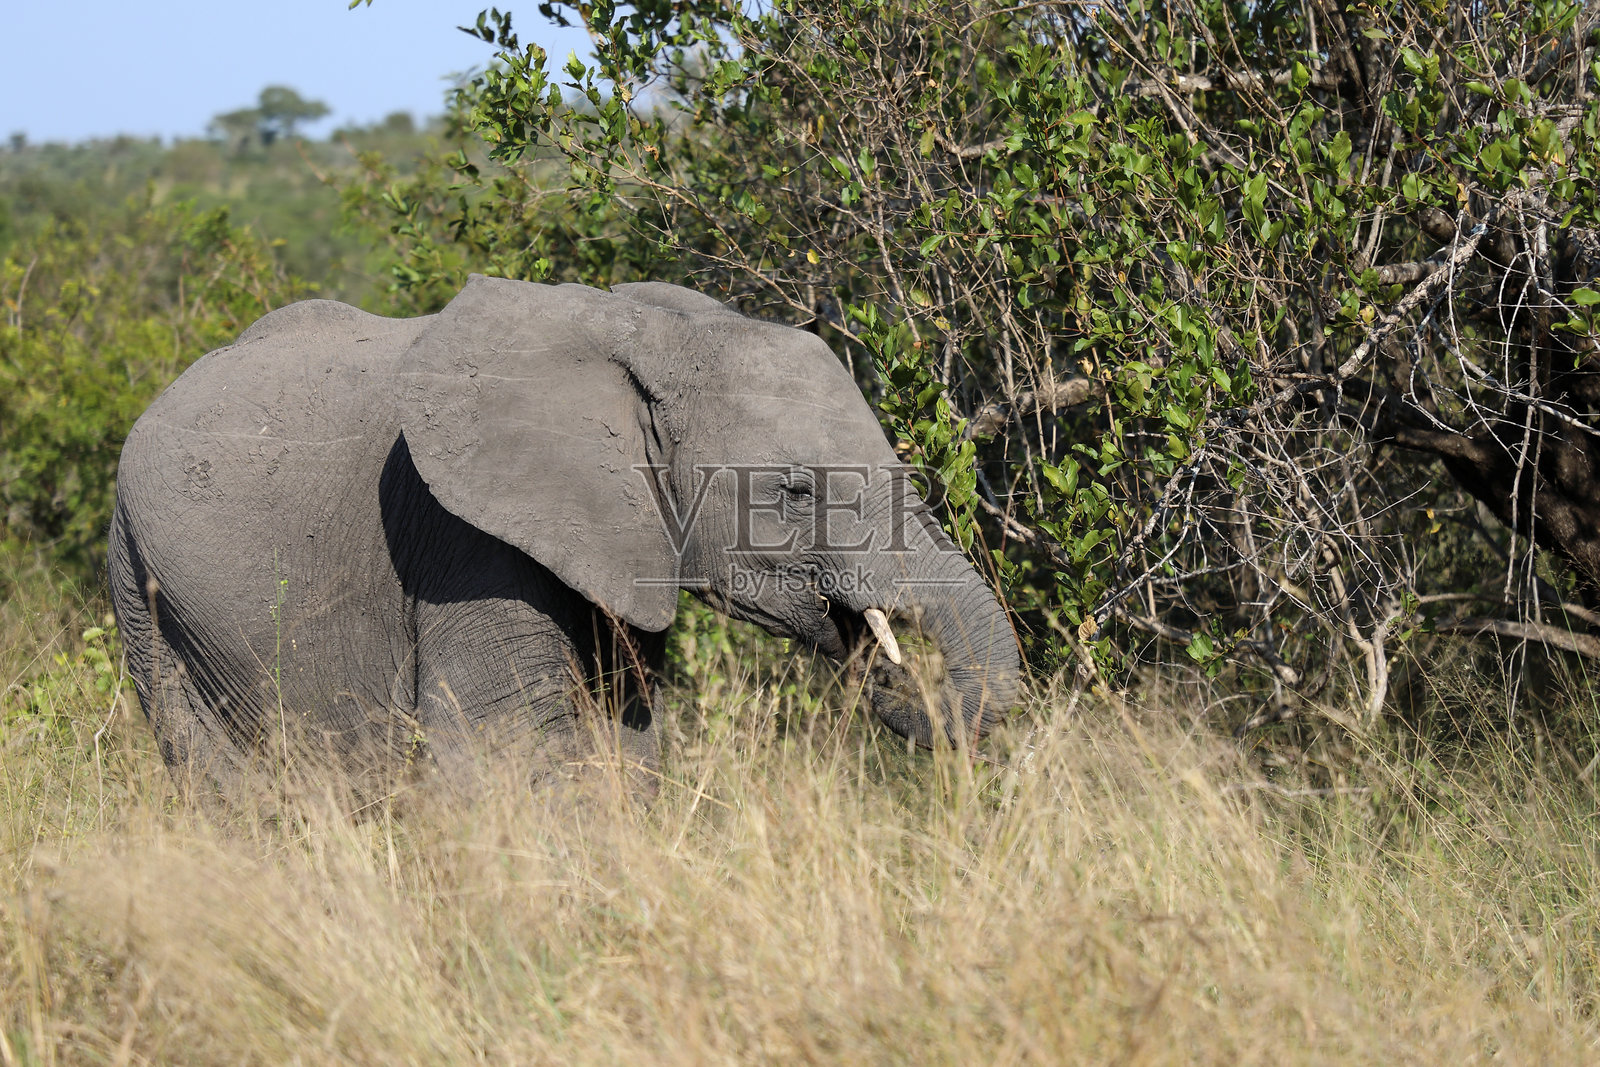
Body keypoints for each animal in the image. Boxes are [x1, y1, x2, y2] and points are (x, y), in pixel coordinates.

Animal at [107, 275, 1021, 798]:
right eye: (795, 492)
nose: (895, 669)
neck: (654, 336)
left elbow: (625, 739)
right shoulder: (461, 539)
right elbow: (501, 748)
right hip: (139, 584)